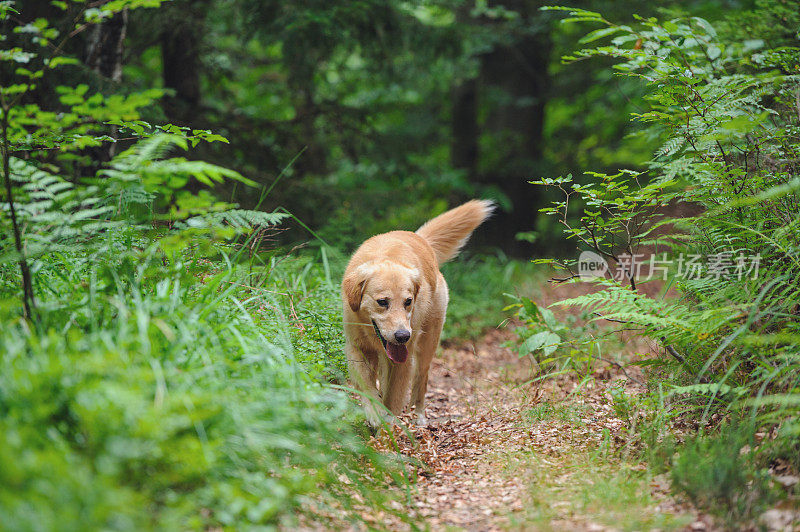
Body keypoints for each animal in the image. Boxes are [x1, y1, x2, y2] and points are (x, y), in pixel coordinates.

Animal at [342, 201, 494, 428]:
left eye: (408, 302)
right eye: (382, 302)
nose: (403, 336)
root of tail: (420, 238)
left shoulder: (403, 360)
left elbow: (393, 397)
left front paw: (388, 423)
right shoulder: (358, 348)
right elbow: (368, 387)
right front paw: (374, 413)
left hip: (427, 344)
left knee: (420, 381)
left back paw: (420, 418)